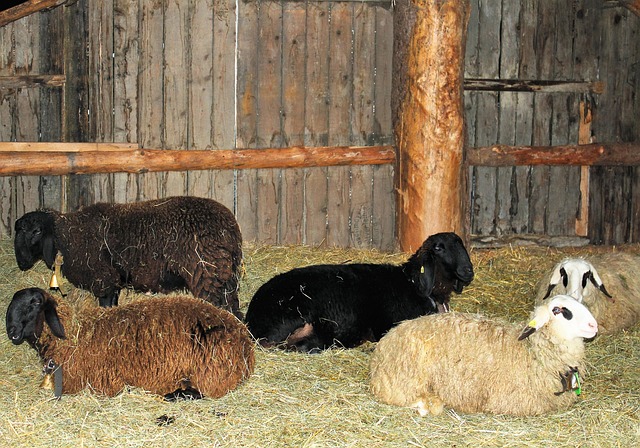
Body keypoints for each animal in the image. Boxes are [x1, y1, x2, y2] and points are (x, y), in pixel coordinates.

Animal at [13, 196, 243, 317]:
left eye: (36, 231)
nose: (21, 262)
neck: (67, 236)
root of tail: (230, 229)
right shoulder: (113, 282)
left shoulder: (103, 280)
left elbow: (106, 307)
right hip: (225, 278)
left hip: (208, 276)